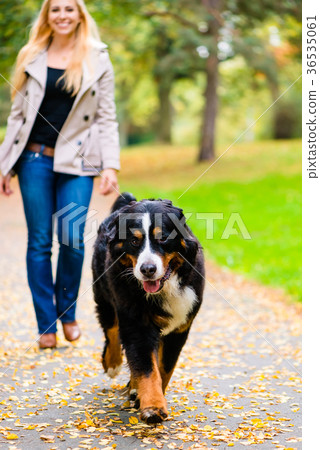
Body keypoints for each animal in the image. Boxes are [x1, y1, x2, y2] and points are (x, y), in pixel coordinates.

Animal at [92, 193, 205, 426]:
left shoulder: (179, 328)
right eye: (134, 241)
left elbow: (164, 368)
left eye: (162, 238)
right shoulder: (137, 324)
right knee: (112, 330)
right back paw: (113, 363)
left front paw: (148, 398)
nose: (147, 269)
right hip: (105, 296)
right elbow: (146, 368)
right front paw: (153, 406)